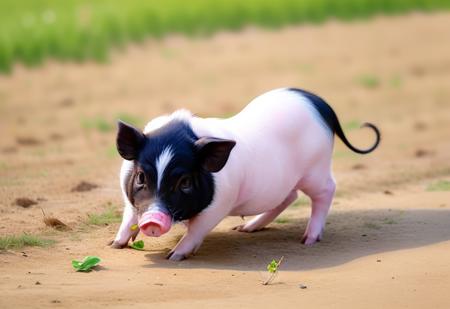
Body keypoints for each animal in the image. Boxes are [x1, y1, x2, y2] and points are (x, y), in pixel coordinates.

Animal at [110, 86, 380, 260]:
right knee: (289, 197)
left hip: (317, 169)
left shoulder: (219, 205)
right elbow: (129, 218)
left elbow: (196, 230)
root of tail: (321, 104)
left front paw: (174, 256)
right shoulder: (129, 198)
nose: (153, 220)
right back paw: (246, 228)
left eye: (184, 182)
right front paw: (114, 245)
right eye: (141, 177)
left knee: (327, 190)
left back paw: (308, 240)